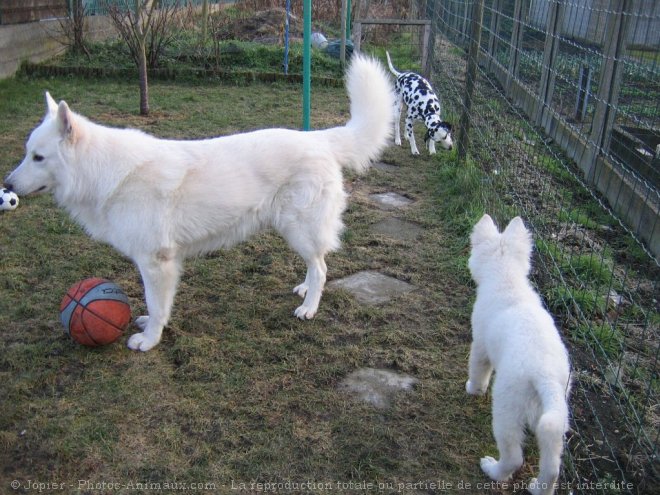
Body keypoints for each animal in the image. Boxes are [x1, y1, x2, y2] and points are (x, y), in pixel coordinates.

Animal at [3, 54, 392, 352]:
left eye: (38, 157)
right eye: (27, 153)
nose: (7, 185)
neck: (103, 171)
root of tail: (319, 139)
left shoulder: (156, 263)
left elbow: (157, 304)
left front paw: (149, 340)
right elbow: (155, 305)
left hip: (299, 228)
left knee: (322, 266)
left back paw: (309, 307)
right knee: (317, 264)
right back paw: (306, 289)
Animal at [466, 214, 568, 495]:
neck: (506, 278)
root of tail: (544, 375)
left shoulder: (480, 345)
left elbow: (478, 371)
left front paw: (472, 389)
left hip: (507, 407)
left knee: (513, 457)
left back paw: (492, 469)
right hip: (556, 416)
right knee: (552, 466)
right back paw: (538, 488)